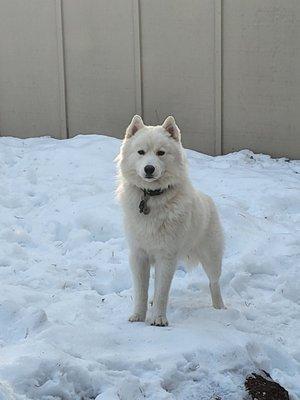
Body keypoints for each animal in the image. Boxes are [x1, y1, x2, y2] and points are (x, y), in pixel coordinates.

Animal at [117, 115, 225, 324]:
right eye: (141, 152)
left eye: (161, 153)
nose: (149, 168)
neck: (151, 197)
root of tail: (208, 199)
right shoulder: (139, 255)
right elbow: (141, 291)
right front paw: (138, 316)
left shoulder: (166, 257)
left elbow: (162, 292)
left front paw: (158, 319)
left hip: (211, 258)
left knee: (214, 283)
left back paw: (220, 309)